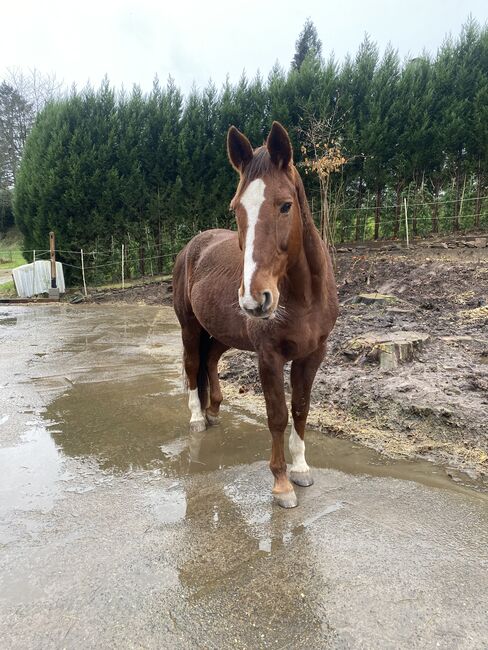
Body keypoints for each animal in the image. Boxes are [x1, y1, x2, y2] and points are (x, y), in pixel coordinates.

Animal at [173, 120, 338, 506]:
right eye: (237, 208)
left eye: (285, 205)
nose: (254, 299)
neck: (303, 297)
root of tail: (192, 247)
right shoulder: (269, 356)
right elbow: (277, 415)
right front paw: (282, 484)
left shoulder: (313, 354)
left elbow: (301, 408)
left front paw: (301, 469)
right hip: (190, 327)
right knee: (192, 364)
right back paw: (197, 418)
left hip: (220, 333)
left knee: (209, 362)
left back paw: (214, 410)